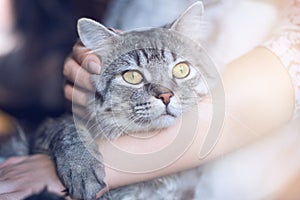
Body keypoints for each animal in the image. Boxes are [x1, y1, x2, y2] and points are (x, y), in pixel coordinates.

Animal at [31, 1, 214, 200]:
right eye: (132, 76)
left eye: (181, 70)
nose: (165, 95)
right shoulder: (44, 130)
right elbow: (67, 130)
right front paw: (81, 167)